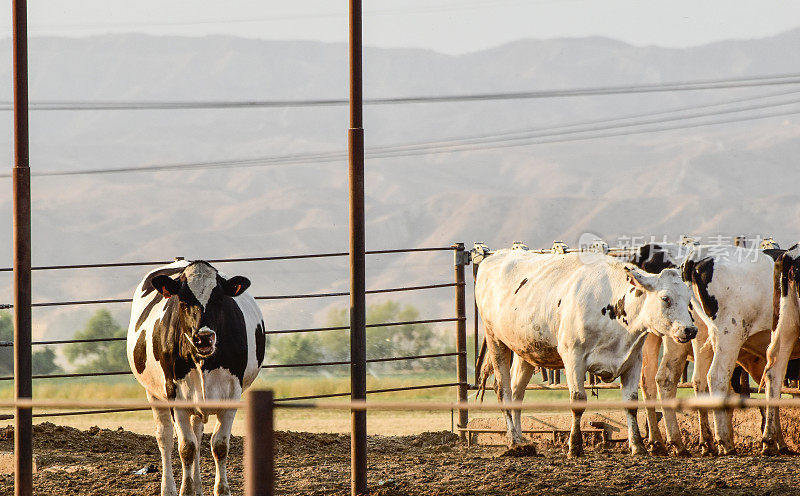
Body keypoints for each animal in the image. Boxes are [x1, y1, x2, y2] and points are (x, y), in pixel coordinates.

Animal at [126, 260, 268, 496]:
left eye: (219, 298)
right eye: (183, 300)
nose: (203, 338)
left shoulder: (232, 394)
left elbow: (219, 445)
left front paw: (221, 490)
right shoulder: (175, 395)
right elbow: (186, 448)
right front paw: (186, 490)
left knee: (198, 433)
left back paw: (198, 487)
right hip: (154, 394)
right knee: (165, 438)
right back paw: (170, 488)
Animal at [476, 252, 692, 458]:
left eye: (689, 298)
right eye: (665, 298)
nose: (691, 329)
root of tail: (493, 258)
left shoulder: (633, 361)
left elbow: (631, 403)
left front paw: (638, 446)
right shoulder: (573, 357)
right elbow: (578, 400)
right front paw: (575, 447)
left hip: (526, 350)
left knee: (516, 392)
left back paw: (521, 442)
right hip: (495, 339)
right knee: (502, 390)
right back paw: (513, 442)